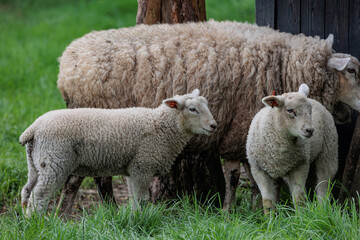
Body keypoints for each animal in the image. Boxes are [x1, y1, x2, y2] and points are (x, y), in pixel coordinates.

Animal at [20, 89, 217, 217]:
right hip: (54, 162)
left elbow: (134, 197)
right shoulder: (142, 166)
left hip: (37, 163)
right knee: (39, 195)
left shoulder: (133, 168)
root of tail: (33, 128)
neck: (162, 126)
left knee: (27, 190)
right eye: (192, 109)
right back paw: (36, 221)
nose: (214, 125)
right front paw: (139, 218)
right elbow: (141, 198)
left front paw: (134, 216)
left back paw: (26, 220)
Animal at [55, 20, 360, 212]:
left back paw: (105, 210)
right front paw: (231, 211)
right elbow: (238, 177)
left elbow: (247, 176)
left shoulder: (242, 133)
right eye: (352, 71)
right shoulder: (240, 131)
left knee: (98, 178)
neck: (284, 63)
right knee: (77, 180)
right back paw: (65, 216)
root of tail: (66, 63)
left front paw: (248, 207)